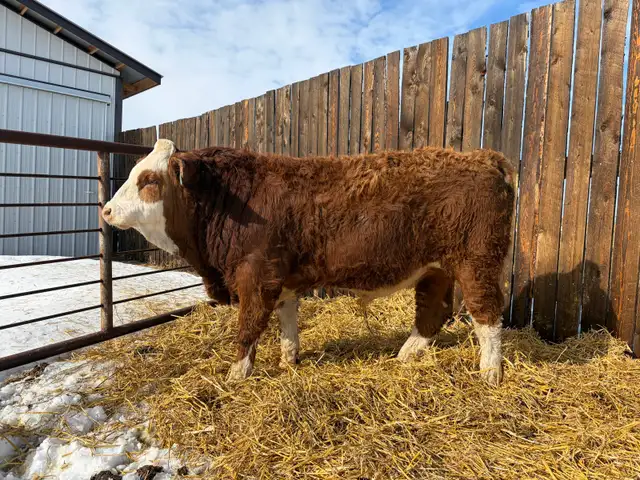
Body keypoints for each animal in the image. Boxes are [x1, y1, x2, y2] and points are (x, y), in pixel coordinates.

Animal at [102, 139, 515, 386]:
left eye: (148, 179)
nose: (105, 209)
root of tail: (486, 158)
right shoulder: (280, 282)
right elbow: (287, 323)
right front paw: (289, 361)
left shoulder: (255, 278)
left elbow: (248, 328)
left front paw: (236, 375)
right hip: (436, 269)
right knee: (433, 311)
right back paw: (406, 354)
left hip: (477, 262)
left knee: (486, 315)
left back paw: (490, 372)